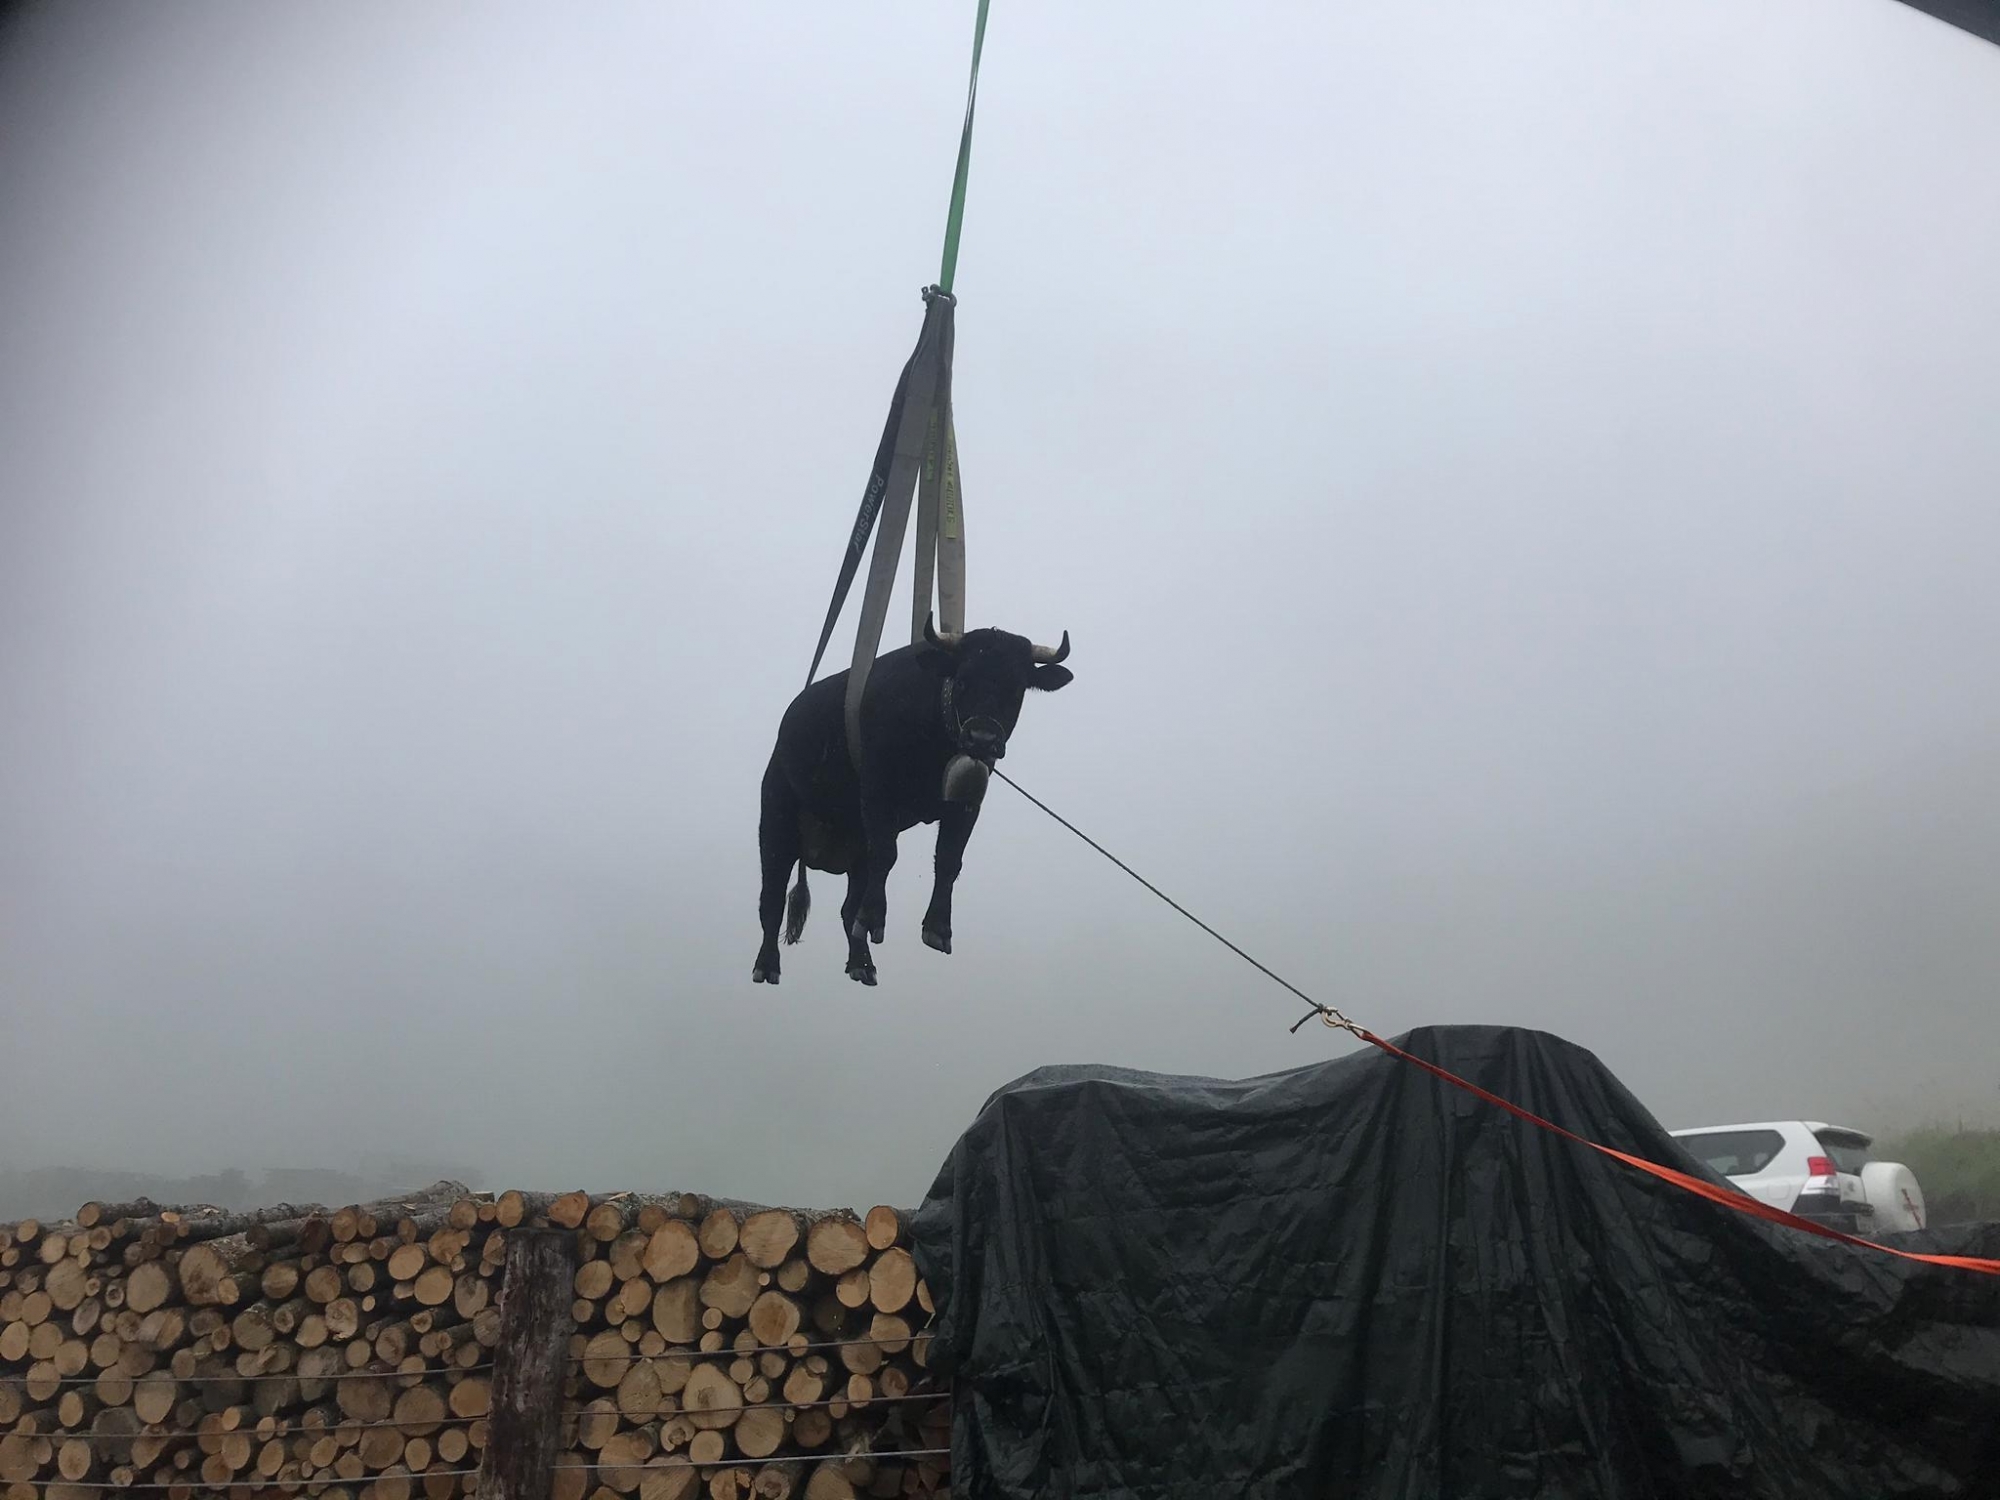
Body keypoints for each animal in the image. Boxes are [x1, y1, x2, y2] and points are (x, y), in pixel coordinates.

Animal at [752, 620, 1072, 988]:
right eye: (963, 679)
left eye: (1016, 688)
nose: (982, 739)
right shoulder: (876, 789)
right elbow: (886, 854)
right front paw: (876, 918)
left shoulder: (966, 803)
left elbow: (949, 859)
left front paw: (938, 927)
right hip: (776, 823)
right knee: (771, 900)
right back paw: (767, 965)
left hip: (854, 846)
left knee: (848, 908)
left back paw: (862, 963)